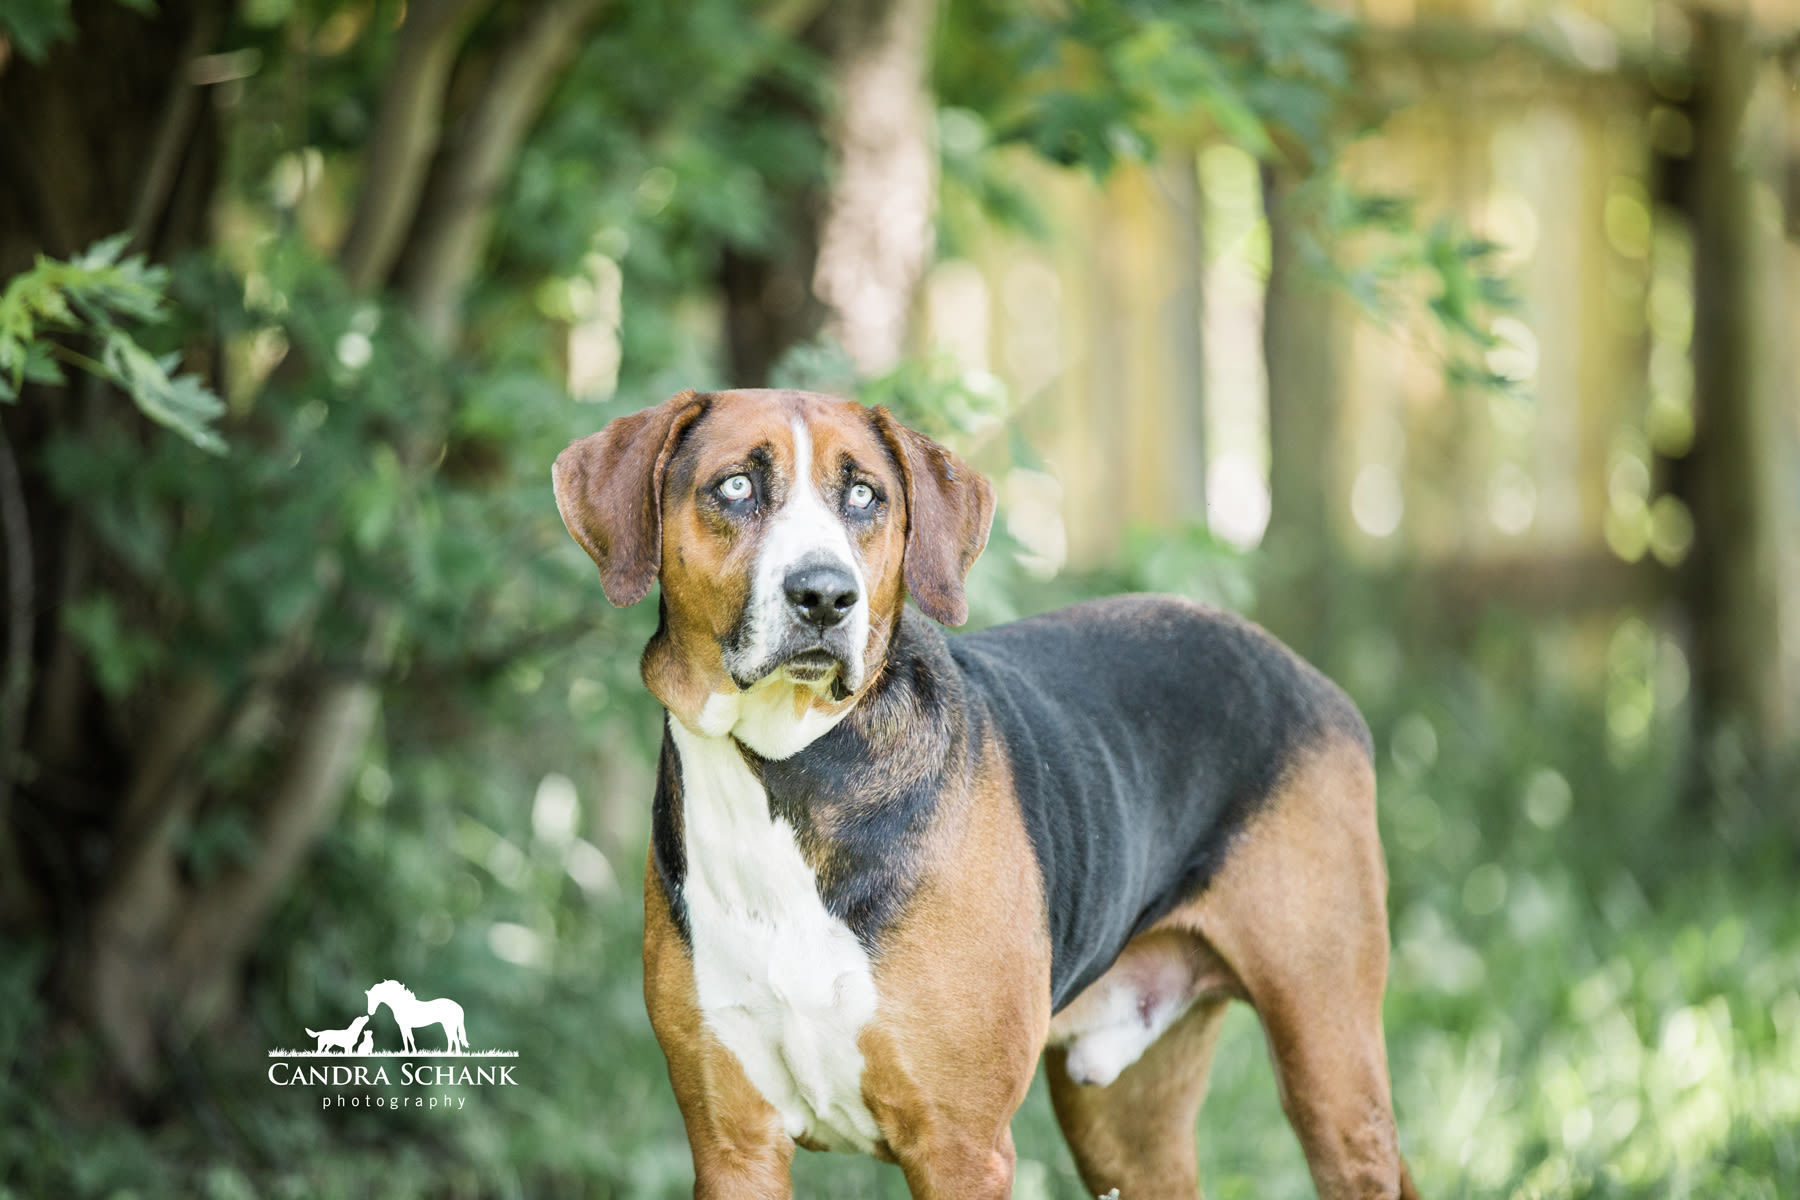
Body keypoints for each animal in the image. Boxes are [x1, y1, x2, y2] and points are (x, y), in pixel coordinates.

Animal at [550, 390, 1418, 1194]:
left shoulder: (959, 1149)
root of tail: (1309, 678)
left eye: (864, 495)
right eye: (734, 486)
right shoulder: (733, 1147)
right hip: (1125, 1128)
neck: (788, 766)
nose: (825, 596)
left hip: (1332, 1076)